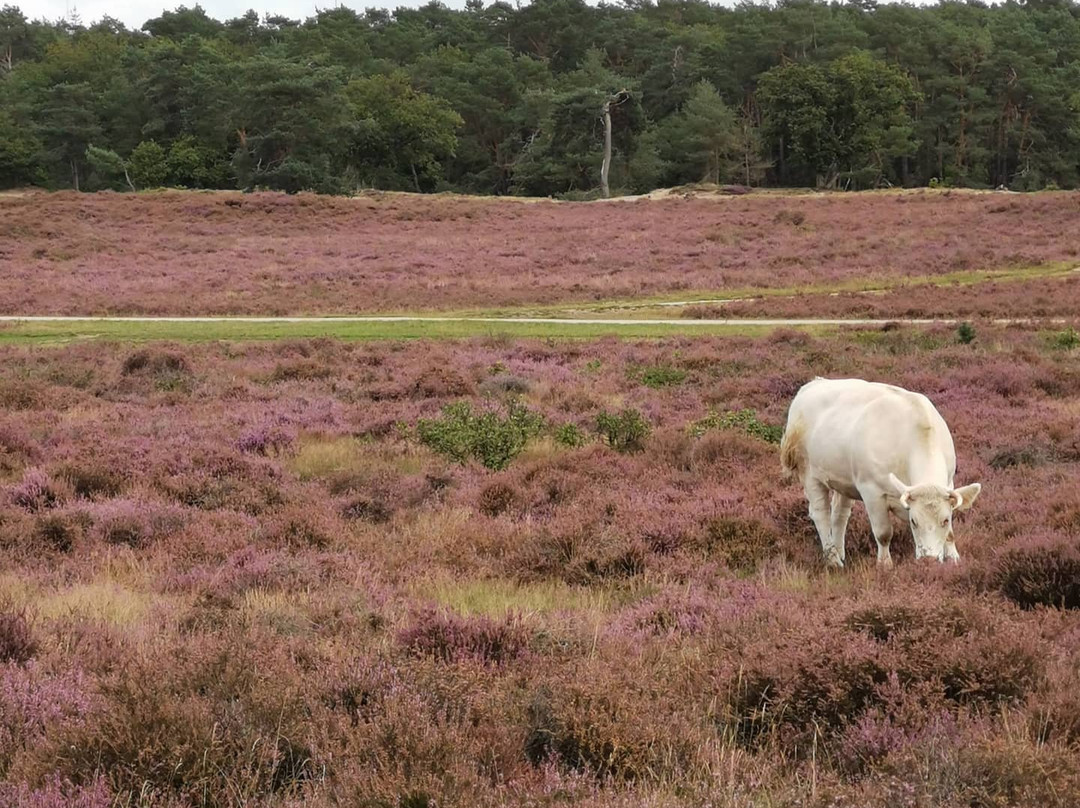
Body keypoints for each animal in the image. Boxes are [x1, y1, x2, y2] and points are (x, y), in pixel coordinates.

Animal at [781, 378, 984, 566]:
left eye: (945, 520)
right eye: (913, 521)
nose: (929, 559)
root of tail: (813, 384)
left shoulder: (949, 483)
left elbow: (950, 534)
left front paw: (954, 558)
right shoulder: (871, 491)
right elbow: (884, 533)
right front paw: (885, 565)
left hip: (844, 480)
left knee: (839, 514)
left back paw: (840, 553)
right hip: (809, 472)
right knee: (820, 513)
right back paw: (832, 560)